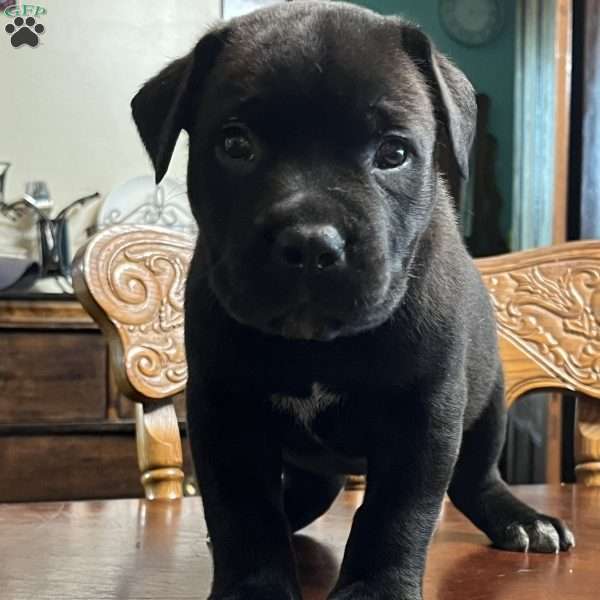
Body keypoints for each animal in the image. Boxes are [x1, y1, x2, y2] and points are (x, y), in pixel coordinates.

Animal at [130, 2, 572, 596]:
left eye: (394, 153)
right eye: (235, 145)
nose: (312, 243)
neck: (317, 346)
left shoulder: (424, 414)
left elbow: (395, 514)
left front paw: (376, 588)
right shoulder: (224, 412)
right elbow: (243, 513)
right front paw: (254, 587)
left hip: (487, 406)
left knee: (475, 478)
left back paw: (522, 520)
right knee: (306, 494)